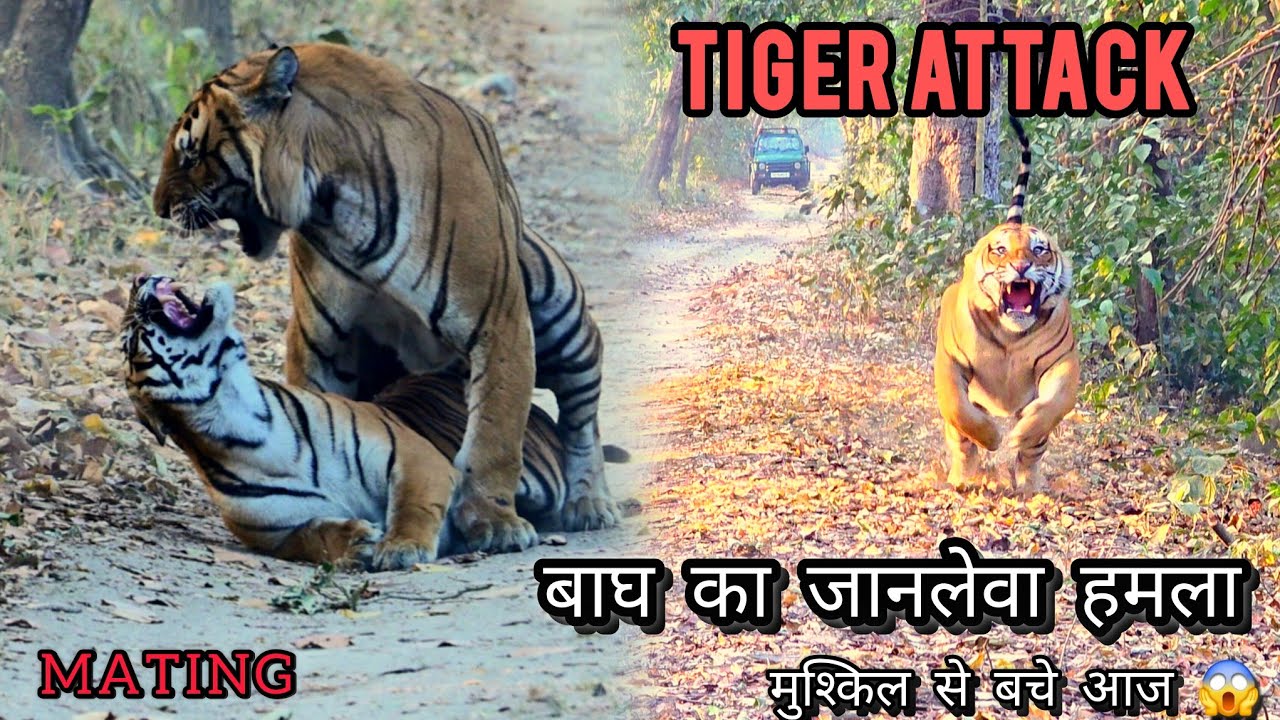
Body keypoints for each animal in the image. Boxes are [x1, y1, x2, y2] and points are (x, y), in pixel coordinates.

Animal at [122, 275, 623, 569]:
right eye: (132, 334)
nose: (140, 277)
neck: (246, 423)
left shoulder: (415, 458)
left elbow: (413, 505)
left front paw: (401, 547)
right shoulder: (275, 535)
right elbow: (312, 537)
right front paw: (354, 542)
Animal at [149, 42, 618, 551]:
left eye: (190, 155)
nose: (158, 209)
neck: (335, 203)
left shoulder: (499, 321)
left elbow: (496, 431)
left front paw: (494, 523)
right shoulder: (320, 338)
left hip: (562, 314)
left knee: (582, 419)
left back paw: (591, 504)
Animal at [933, 116, 1079, 491]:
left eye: (1039, 249)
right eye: (1000, 250)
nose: (1022, 265)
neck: (1010, 335)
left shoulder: (1062, 362)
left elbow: (1053, 405)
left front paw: (1020, 435)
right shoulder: (950, 359)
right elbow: (959, 409)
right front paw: (992, 438)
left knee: (1032, 456)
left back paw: (1029, 486)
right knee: (961, 442)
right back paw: (963, 477)